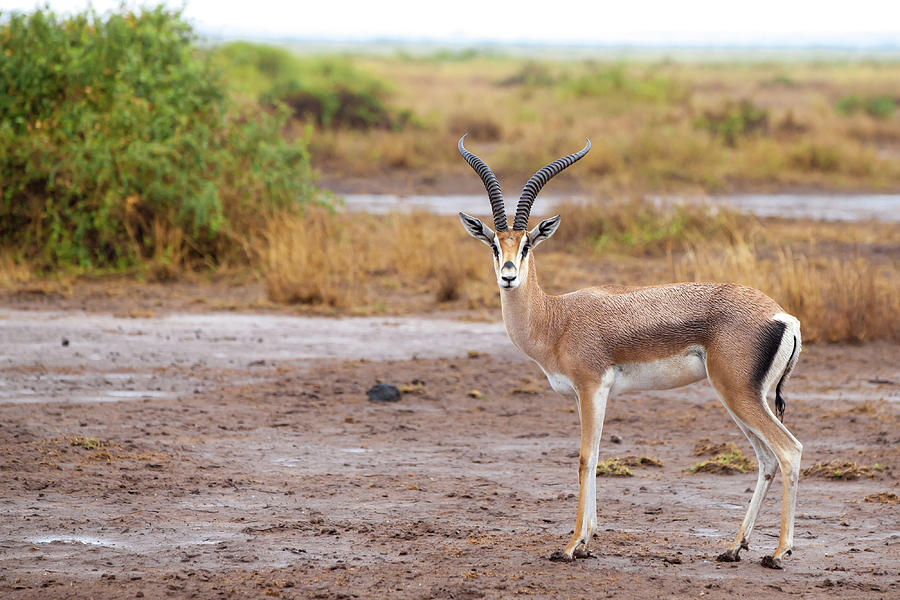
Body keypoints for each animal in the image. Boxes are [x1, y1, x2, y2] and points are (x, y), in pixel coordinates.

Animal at [458, 135, 800, 568]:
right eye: (493, 245)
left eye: (527, 245)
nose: (508, 276)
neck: (556, 319)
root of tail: (782, 315)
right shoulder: (589, 395)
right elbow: (596, 456)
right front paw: (588, 541)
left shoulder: (591, 389)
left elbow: (585, 458)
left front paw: (570, 546)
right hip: (740, 398)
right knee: (767, 459)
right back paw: (733, 547)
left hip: (738, 394)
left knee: (789, 451)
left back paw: (778, 552)